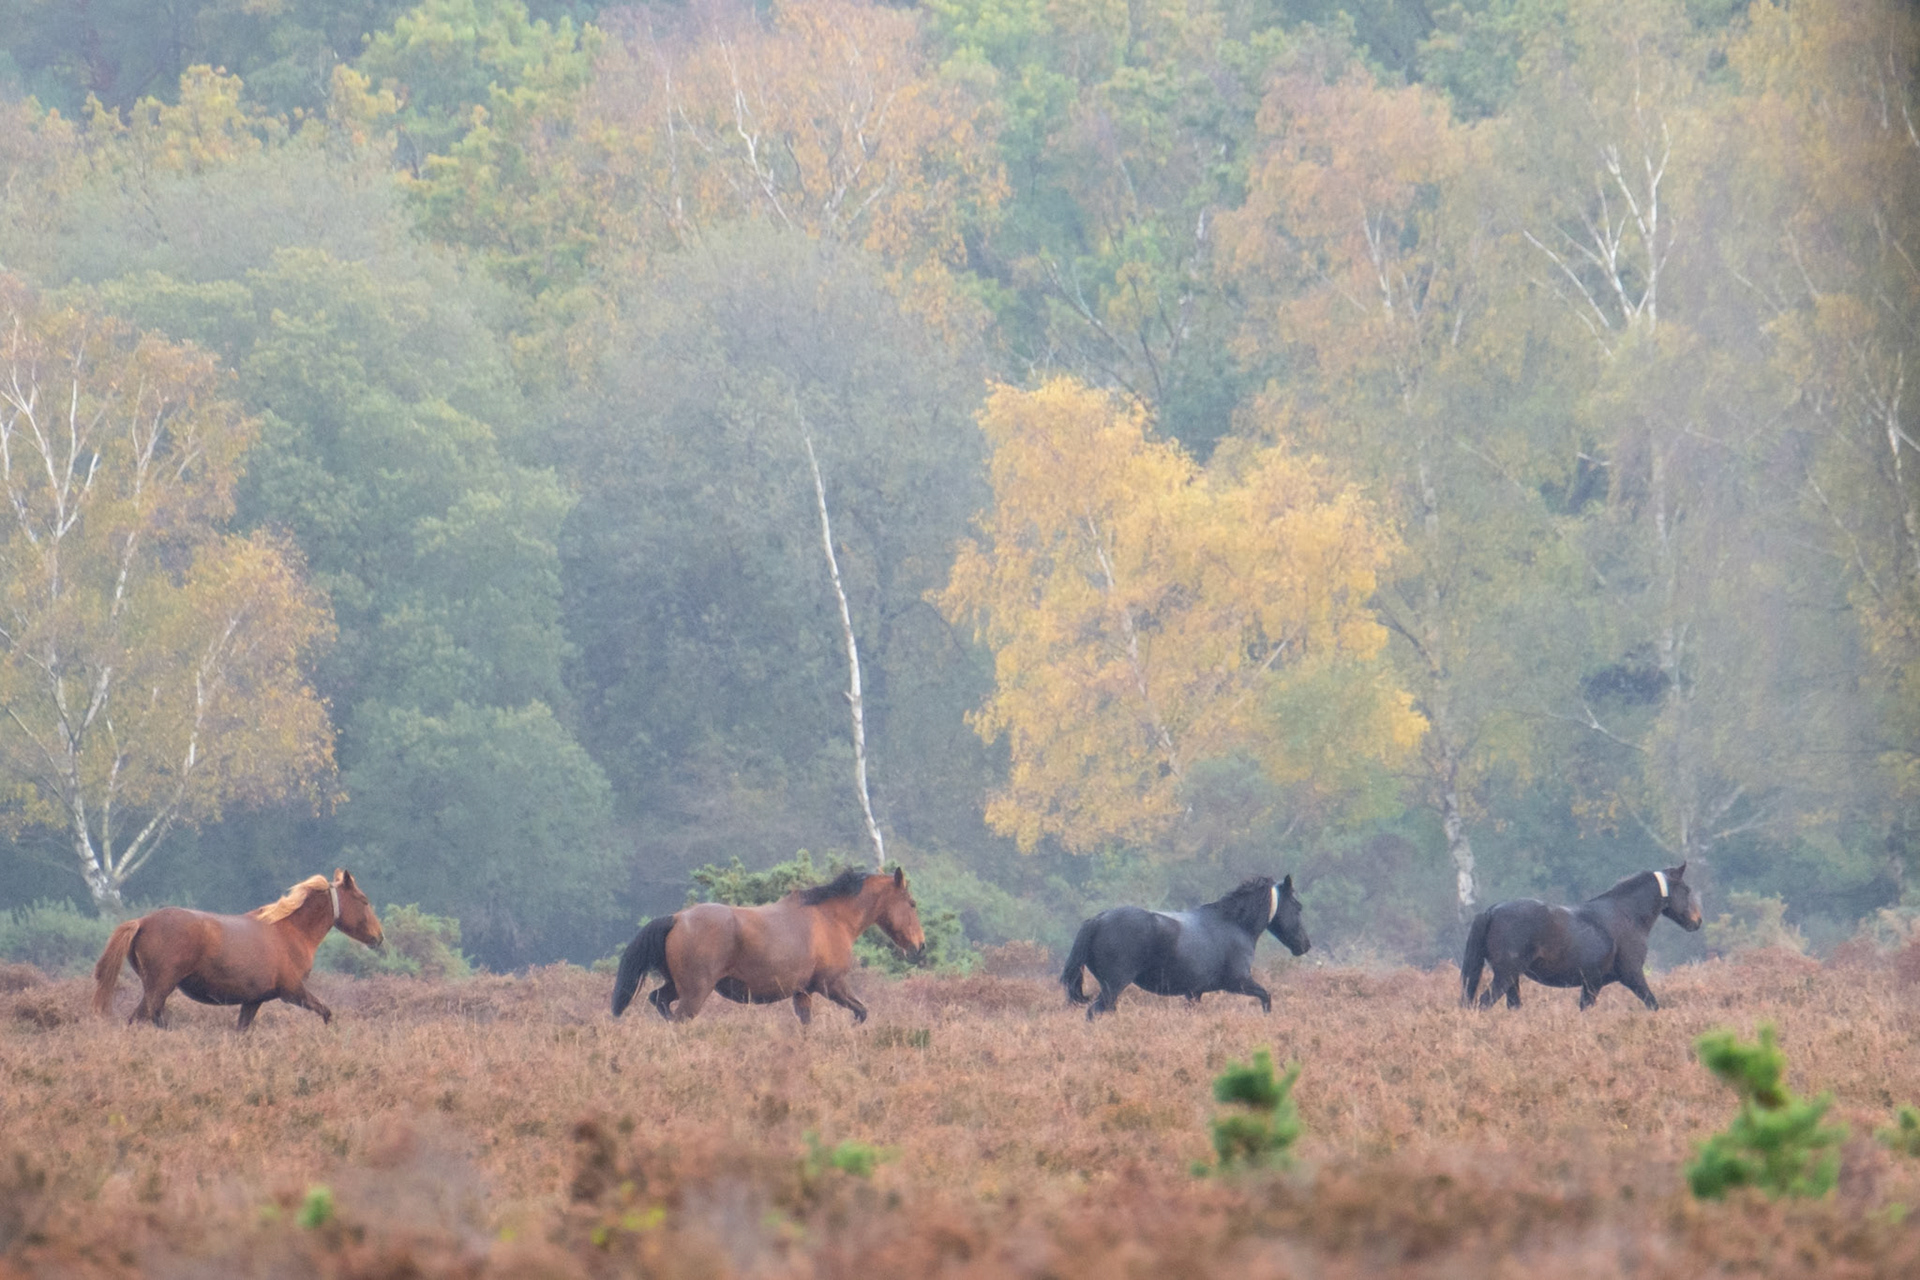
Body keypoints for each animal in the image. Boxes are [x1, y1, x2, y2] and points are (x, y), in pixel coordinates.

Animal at [92, 869, 384, 1029]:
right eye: (364, 900)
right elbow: (326, 1012)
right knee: (137, 1020)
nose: (379, 937)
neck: (290, 932)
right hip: (159, 987)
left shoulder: (252, 1001)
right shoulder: (293, 992)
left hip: (157, 991)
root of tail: (142, 922)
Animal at [610, 866, 925, 1025]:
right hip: (694, 993)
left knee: (659, 1001)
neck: (831, 918)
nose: (920, 946)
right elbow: (861, 1012)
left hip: (678, 986)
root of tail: (676, 918)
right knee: (677, 1018)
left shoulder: (803, 993)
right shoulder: (831, 985)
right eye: (912, 903)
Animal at [1060, 876, 1310, 1020]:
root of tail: (1097, 920)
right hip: (1113, 986)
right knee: (1093, 1013)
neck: (1234, 924)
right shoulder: (1238, 982)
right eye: (1297, 906)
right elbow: (1266, 997)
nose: (1305, 945)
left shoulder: (1194, 993)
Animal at [1459, 863, 1703, 1011]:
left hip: (1512, 978)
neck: (1626, 914)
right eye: (1687, 889)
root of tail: (1491, 911)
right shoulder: (1633, 975)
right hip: (1505, 975)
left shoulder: (1592, 984)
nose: (1697, 921)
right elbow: (1653, 1004)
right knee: (1483, 1003)